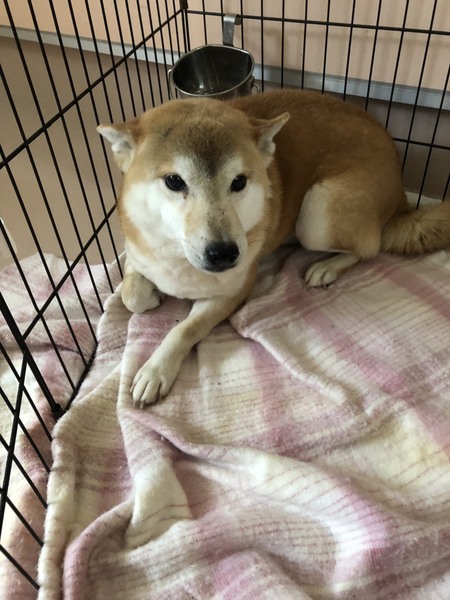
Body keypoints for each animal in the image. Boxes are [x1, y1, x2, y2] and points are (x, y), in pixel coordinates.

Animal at [98, 89, 450, 407]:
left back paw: (327, 267)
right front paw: (150, 297)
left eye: (239, 182)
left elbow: (184, 329)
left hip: (318, 211)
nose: (224, 253)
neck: (179, 258)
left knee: (369, 247)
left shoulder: (233, 292)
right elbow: (131, 295)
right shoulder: (137, 252)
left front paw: (155, 369)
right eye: (174, 181)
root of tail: (401, 190)